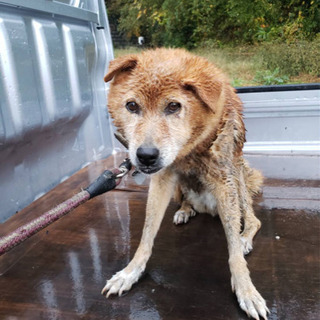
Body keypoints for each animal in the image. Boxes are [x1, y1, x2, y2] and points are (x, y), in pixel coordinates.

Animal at [101, 48, 268, 320]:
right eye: (132, 106)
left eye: (173, 106)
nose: (145, 156)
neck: (192, 150)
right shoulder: (163, 177)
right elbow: (146, 235)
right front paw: (129, 272)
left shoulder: (224, 180)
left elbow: (233, 252)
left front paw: (246, 290)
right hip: (179, 188)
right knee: (189, 202)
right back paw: (185, 211)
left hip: (239, 177)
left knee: (253, 220)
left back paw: (244, 238)